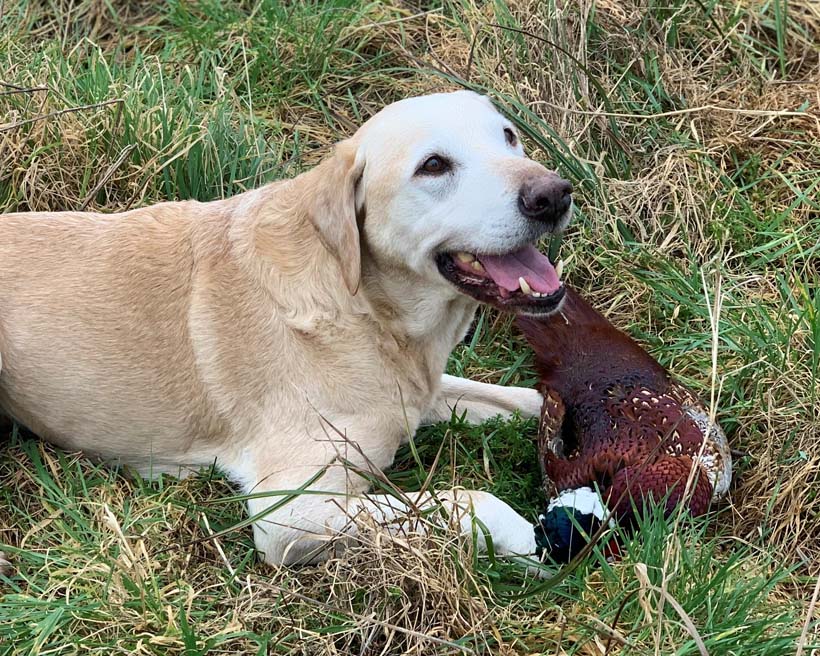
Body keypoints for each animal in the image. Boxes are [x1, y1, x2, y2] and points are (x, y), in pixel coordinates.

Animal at [0, 89, 572, 568]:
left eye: (508, 135)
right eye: (433, 166)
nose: (554, 194)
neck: (363, 305)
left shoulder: (420, 394)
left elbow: (526, 399)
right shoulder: (291, 511)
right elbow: (469, 501)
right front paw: (535, 543)